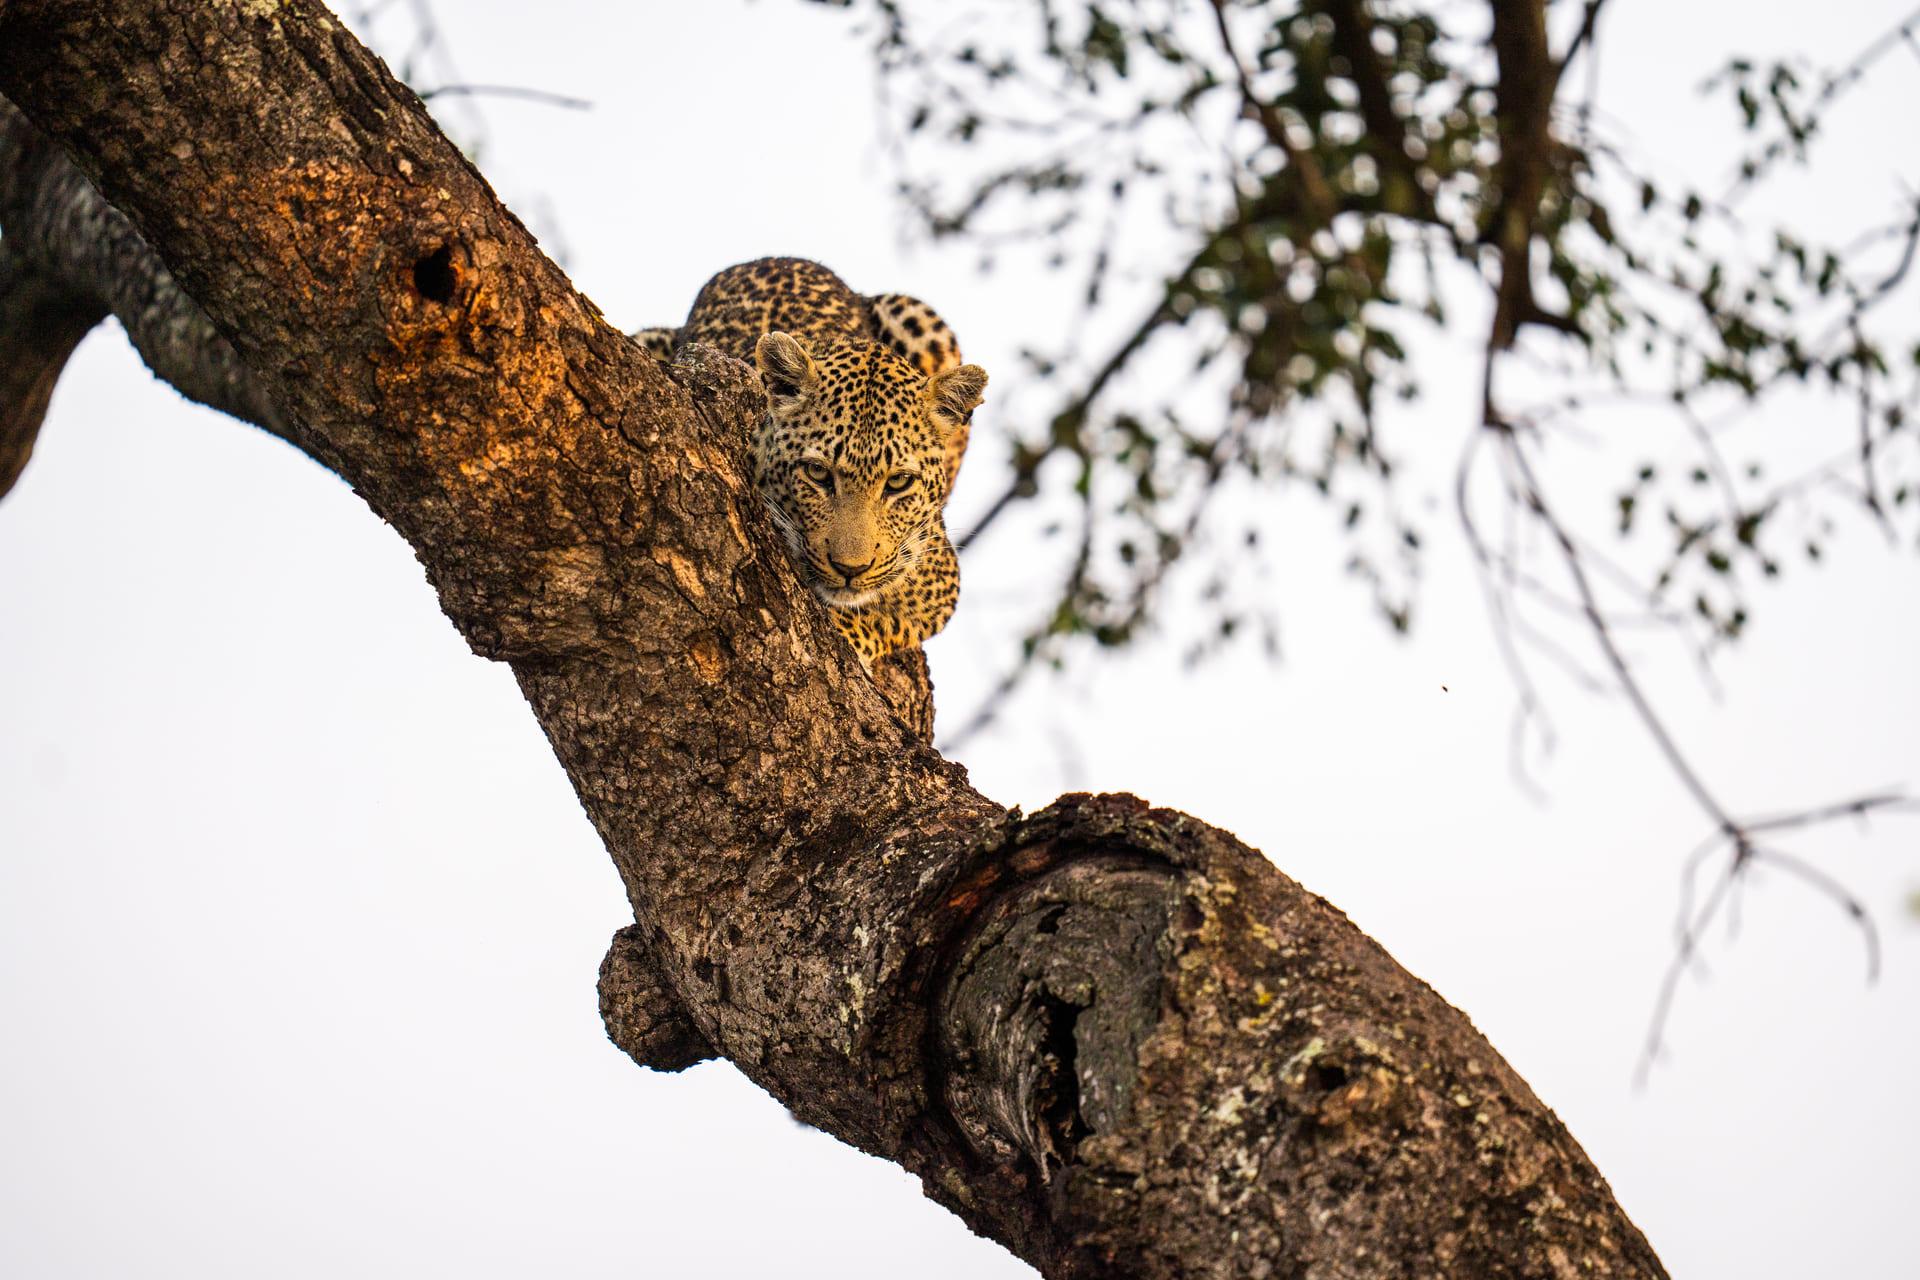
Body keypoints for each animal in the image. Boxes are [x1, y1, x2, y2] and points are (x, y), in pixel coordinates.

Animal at [635, 257, 986, 669]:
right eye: (818, 473)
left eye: (898, 482)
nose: (850, 570)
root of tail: (770, 258)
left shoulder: (940, 573)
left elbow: (889, 617)